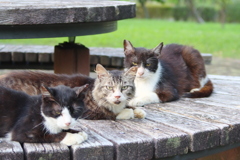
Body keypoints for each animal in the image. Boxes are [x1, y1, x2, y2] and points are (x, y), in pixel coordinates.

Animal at [0, 64, 146, 119]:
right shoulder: (87, 112)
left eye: (124, 88)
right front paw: (128, 112)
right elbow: (112, 114)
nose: (117, 96)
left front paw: (137, 110)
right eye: (109, 87)